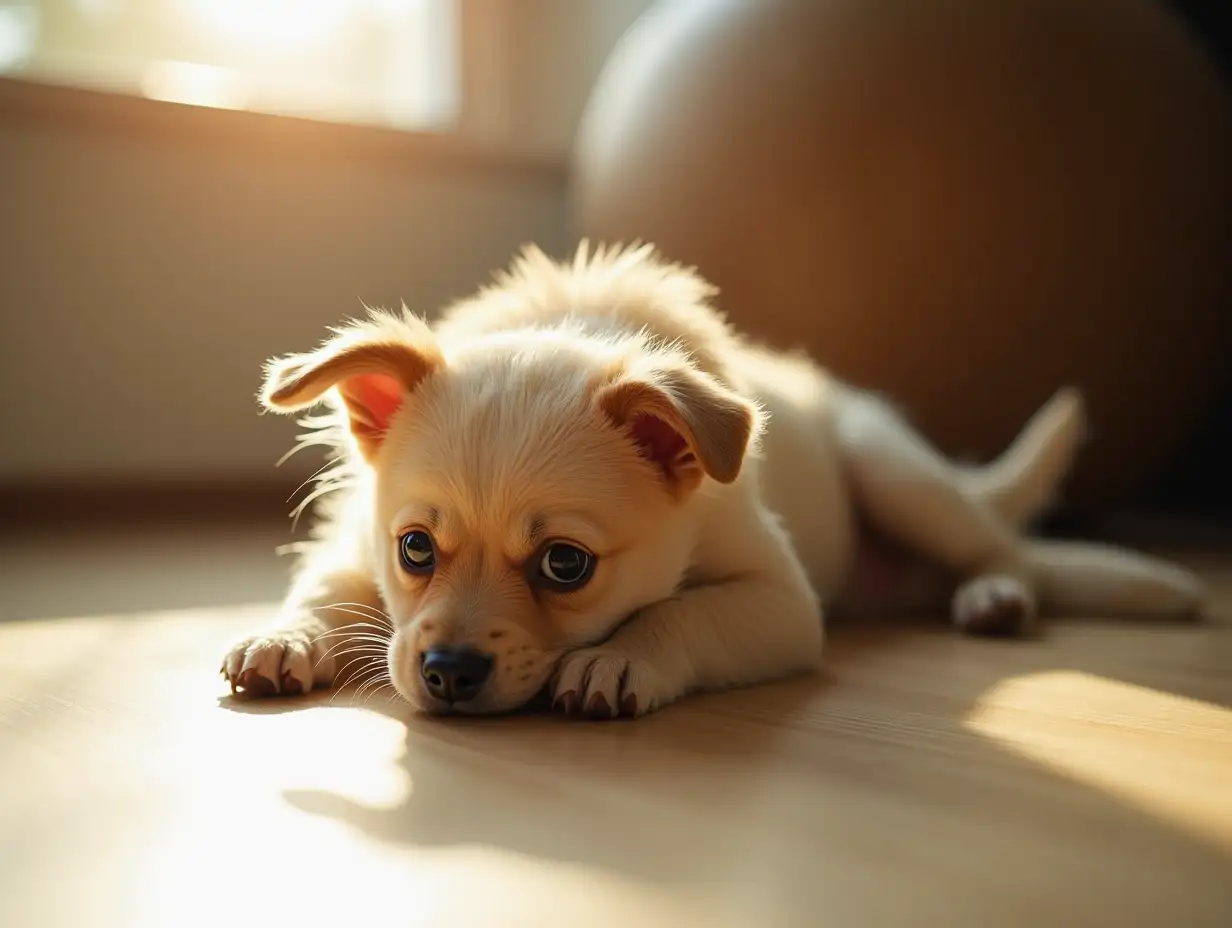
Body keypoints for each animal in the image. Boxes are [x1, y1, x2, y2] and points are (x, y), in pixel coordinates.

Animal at [221, 242, 1202, 714]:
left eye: (566, 566)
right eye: (416, 550)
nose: (448, 672)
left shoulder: (780, 602)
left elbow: (680, 611)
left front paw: (620, 657)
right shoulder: (351, 548)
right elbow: (323, 593)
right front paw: (285, 637)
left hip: (898, 476)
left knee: (1011, 550)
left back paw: (1001, 595)